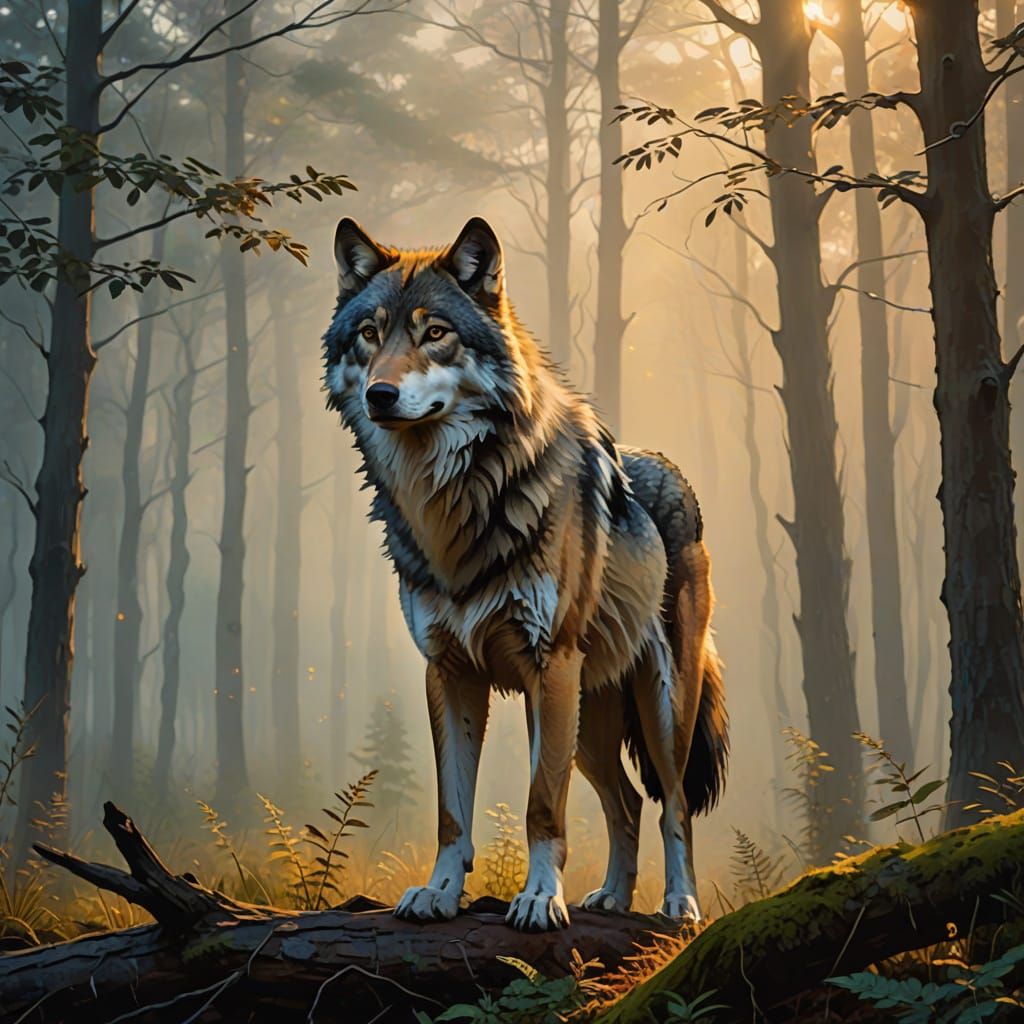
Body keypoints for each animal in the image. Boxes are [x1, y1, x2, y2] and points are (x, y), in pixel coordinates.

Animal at [322, 216, 728, 932]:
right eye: (370, 333)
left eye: (435, 332)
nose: (380, 394)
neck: (453, 507)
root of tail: (671, 469)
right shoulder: (448, 671)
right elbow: (452, 812)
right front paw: (439, 894)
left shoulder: (550, 663)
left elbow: (542, 806)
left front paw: (539, 898)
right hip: (587, 722)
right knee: (626, 803)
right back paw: (612, 898)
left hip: (657, 708)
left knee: (672, 804)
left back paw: (679, 904)